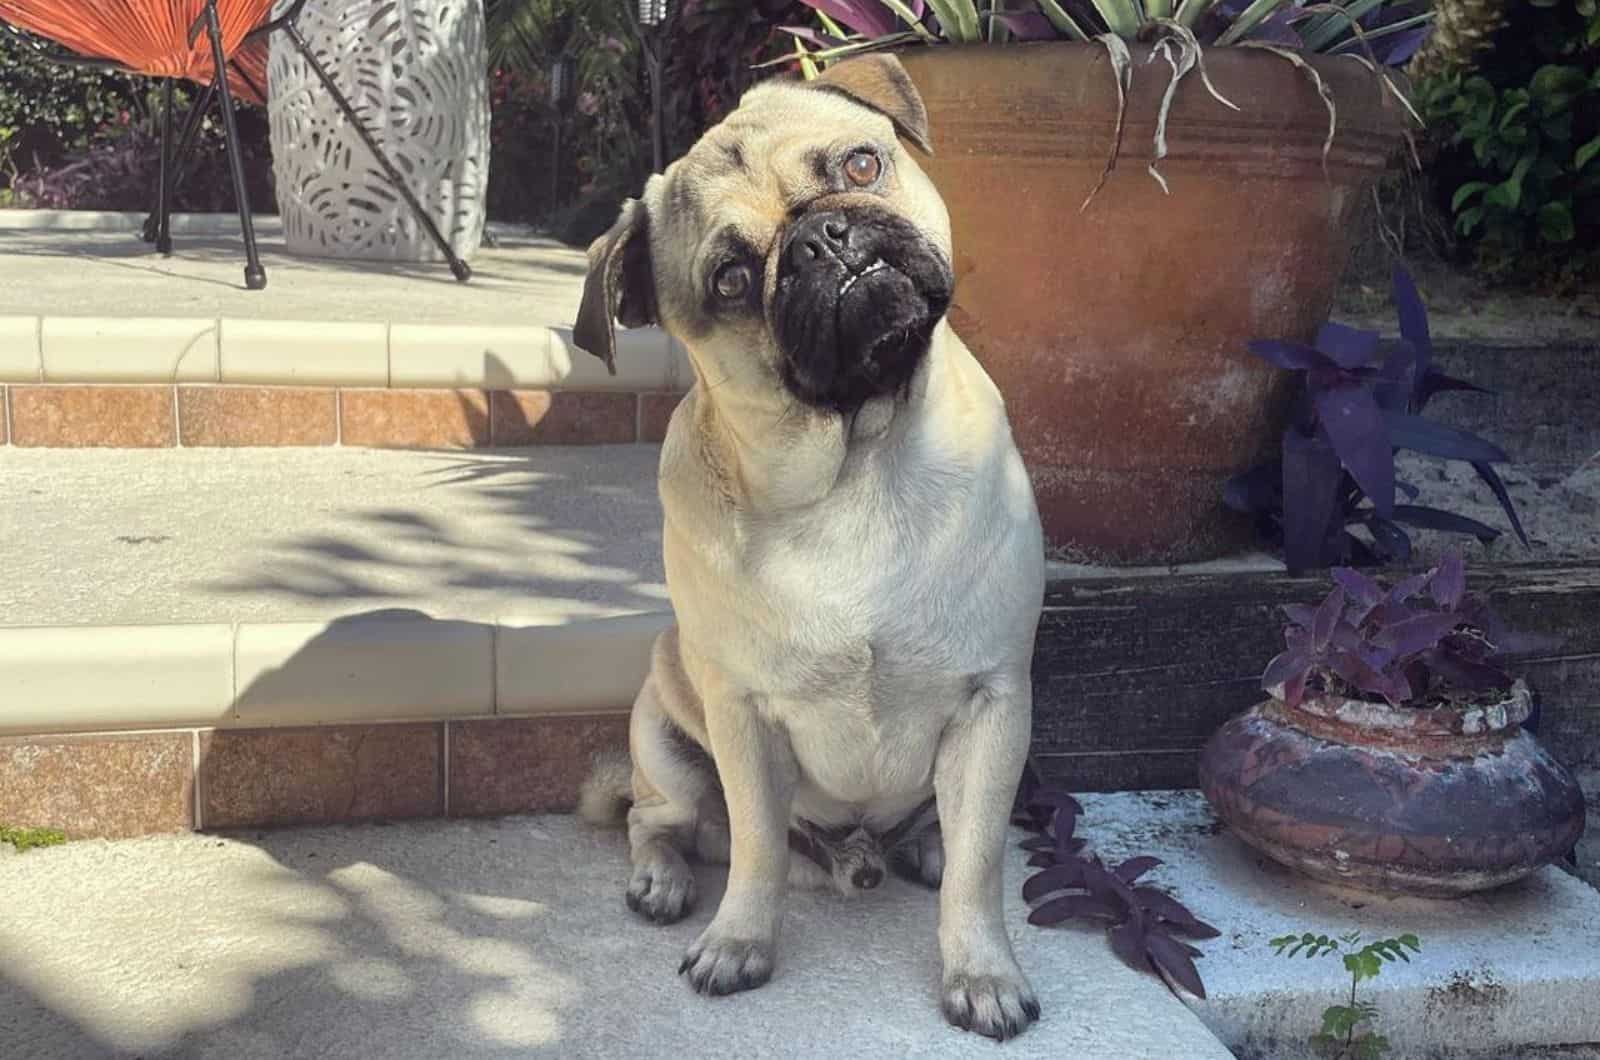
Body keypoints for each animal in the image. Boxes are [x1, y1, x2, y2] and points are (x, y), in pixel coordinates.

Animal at [579, 54, 1049, 1043]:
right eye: (728, 279)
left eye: (861, 165)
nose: (820, 239)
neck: (856, 463)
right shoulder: (743, 717)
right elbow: (755, 844)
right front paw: (739, 944)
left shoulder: (994, 702)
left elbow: (981, 866)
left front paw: (981, 970)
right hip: (662, 735)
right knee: (661, 820)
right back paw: (661, 880)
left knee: (948, 840)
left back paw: (922, 849)